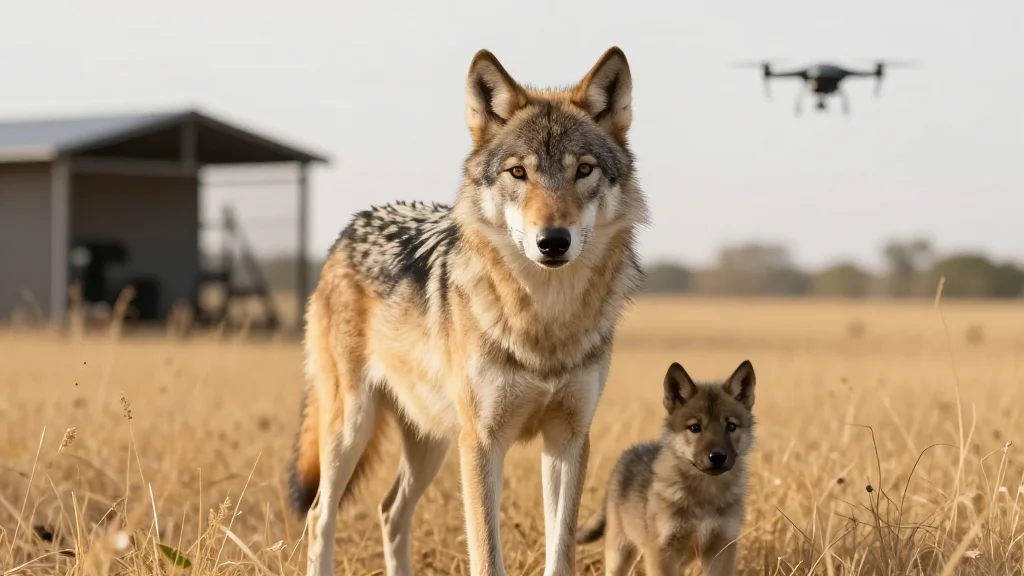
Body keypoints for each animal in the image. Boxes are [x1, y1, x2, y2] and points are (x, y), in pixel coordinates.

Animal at [288, 46, 649, 576]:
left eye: (583, 170)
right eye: (518, 173)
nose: (553, 241)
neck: (544, 322)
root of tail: (349, 229)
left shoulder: (569, 437)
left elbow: (560, 552)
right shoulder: (481, 440)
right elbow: (486, 555)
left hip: (432, 440)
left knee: (390, 511)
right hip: (353, 428)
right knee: (320, 516)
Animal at [576, 360, 758, 576]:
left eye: (731, 426)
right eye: (695, 427)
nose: (718, 457)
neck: (705, 495)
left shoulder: (722, 547)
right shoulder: (662, 551)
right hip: (619, 553)